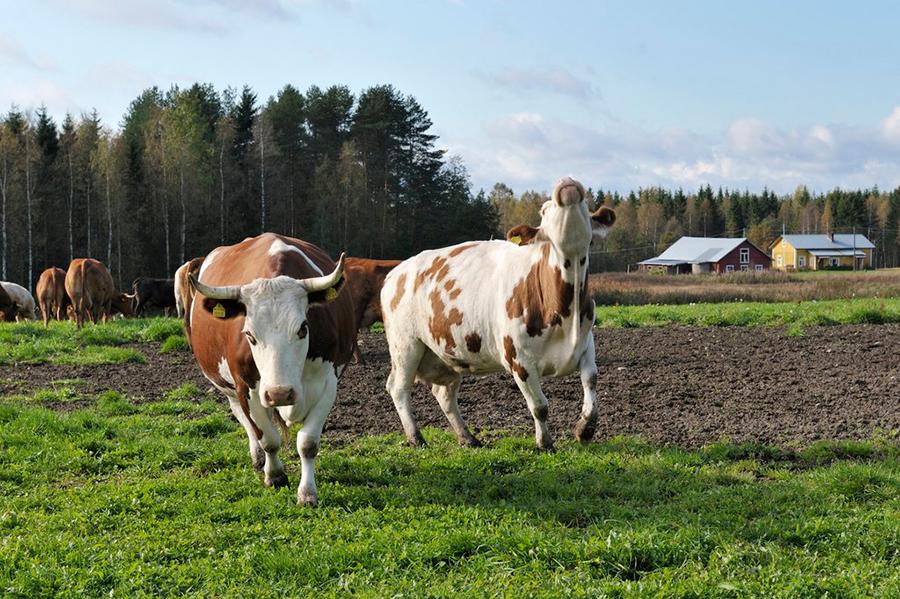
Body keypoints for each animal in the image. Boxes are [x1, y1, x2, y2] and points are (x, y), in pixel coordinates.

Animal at [188, 234, 354, 506]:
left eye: (303, 328)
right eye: (249, 335)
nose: (279, 394)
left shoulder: (328, 383)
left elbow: (308, 443)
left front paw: (307, 492)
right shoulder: (246, 387)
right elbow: (268, 439)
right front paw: (274, 475)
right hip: (229, 388)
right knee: (244, 420)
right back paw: (258, 459)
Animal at [376, 177, 616, 450]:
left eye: (586, 204)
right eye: (544, 210)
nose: (567, 182)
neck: (565, 313)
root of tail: (395, 272)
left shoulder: (586, 344)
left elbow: (591, 382)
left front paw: (585, 429)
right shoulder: (518, 359)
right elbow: (540, 406)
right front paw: (545, 443)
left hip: (446, 352)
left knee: (444, 394)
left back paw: (467, 437)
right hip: (405, 346)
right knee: (398, 388)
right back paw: (416, 437)